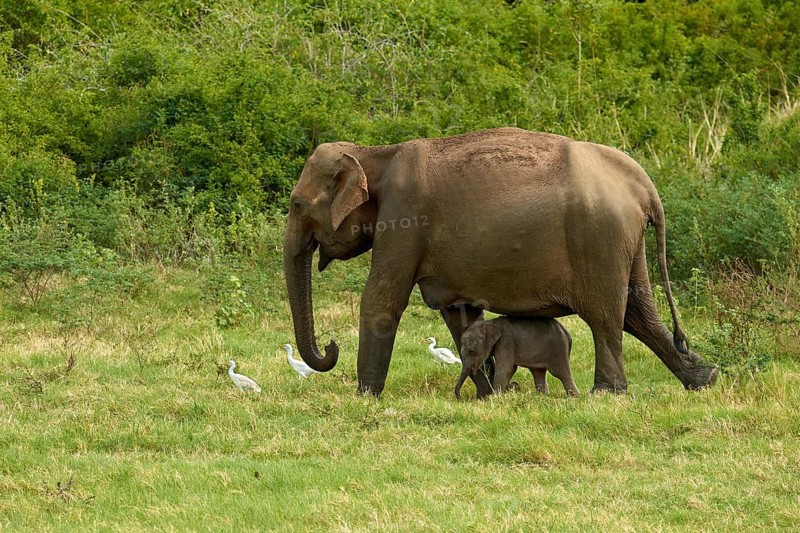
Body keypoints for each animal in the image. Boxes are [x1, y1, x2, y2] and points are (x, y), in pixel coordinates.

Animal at [283, 127, 718, 397]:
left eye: (296, 205)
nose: (331, 345)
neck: (374, 153)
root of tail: (643, 185)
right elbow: (458, 313)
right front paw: (488, 394)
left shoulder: (403, 220)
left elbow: (381, 301)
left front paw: (366, 396)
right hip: (627, 241)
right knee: (637, 310)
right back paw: (704, 378)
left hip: (600, 237)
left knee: (606, 314)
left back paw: (607, 394)